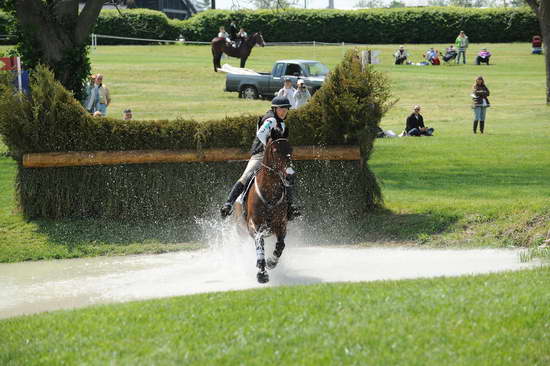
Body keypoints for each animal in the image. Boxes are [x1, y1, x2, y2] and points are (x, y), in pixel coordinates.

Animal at [234, 134, 296, 284]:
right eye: (275, 150)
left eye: (291, 149)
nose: (290, 176)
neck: (269, 193)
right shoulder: (254, 225)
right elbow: (259, 242)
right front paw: (261, 273)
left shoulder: (281, 225)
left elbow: (280, 245)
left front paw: (271, 262)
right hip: (241, 230)